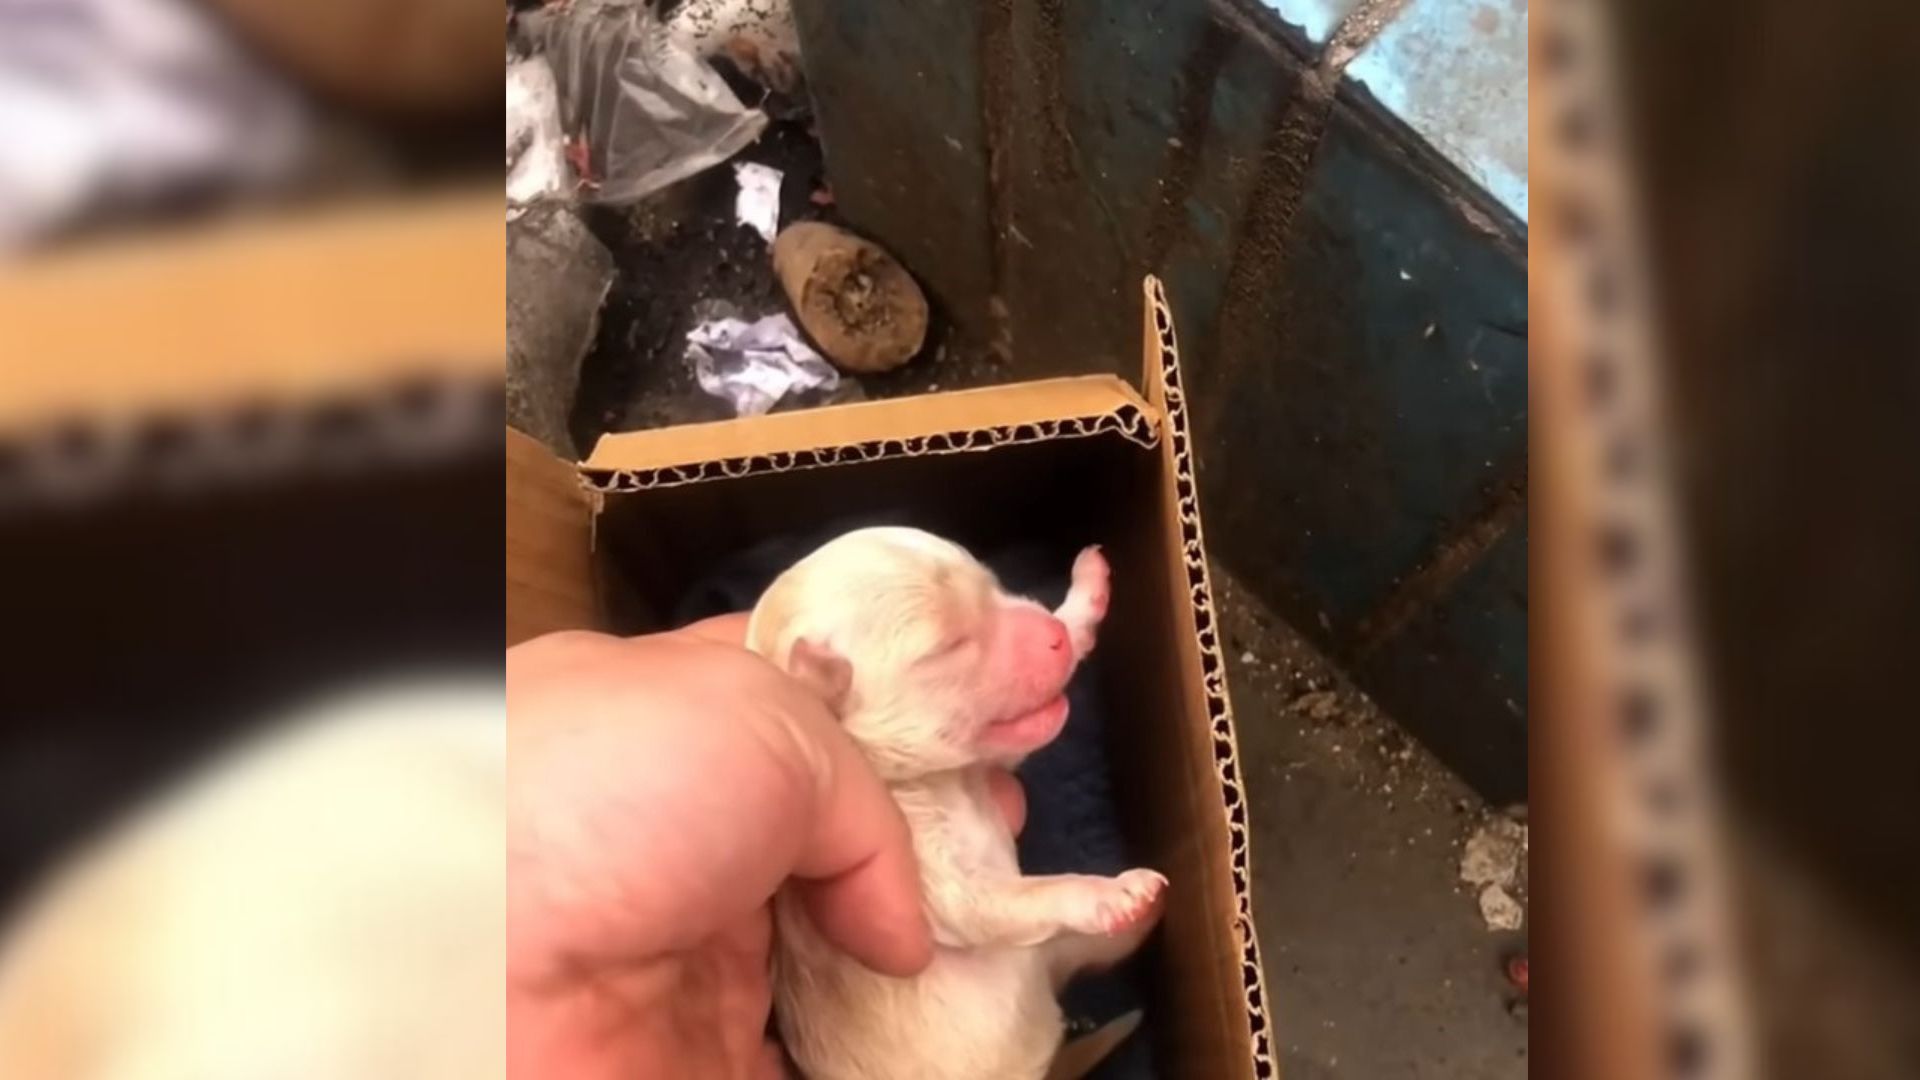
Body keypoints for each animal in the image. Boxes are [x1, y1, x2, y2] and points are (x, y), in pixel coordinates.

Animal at [748, 526, 1167, 1068]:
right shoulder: (933, 881)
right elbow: (1007, 899)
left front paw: (1083, 597)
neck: (939, 782)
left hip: (1053, 955)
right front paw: (1109, 892)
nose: (1051, 635)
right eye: (948, 646)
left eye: (994, 582)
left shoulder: (987, 763)